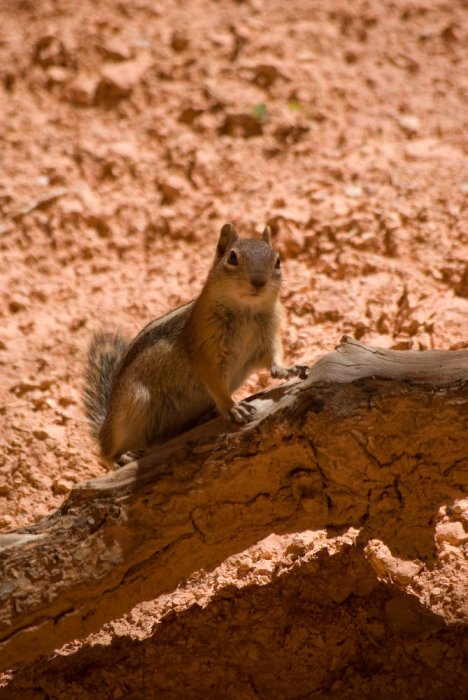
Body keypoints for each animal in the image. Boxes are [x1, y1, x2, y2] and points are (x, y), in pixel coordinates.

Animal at [83, 224, 296, 464]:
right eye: (232, 257)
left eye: (277, 261)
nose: (259, 281)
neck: (247, 311)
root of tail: (106, 424)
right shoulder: (205, 350)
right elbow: (214, 382)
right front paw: (232, 406)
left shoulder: (265, 340)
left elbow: (273, 357)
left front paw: (287, 369)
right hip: (132, 406)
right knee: (104, 453)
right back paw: (123, 456)